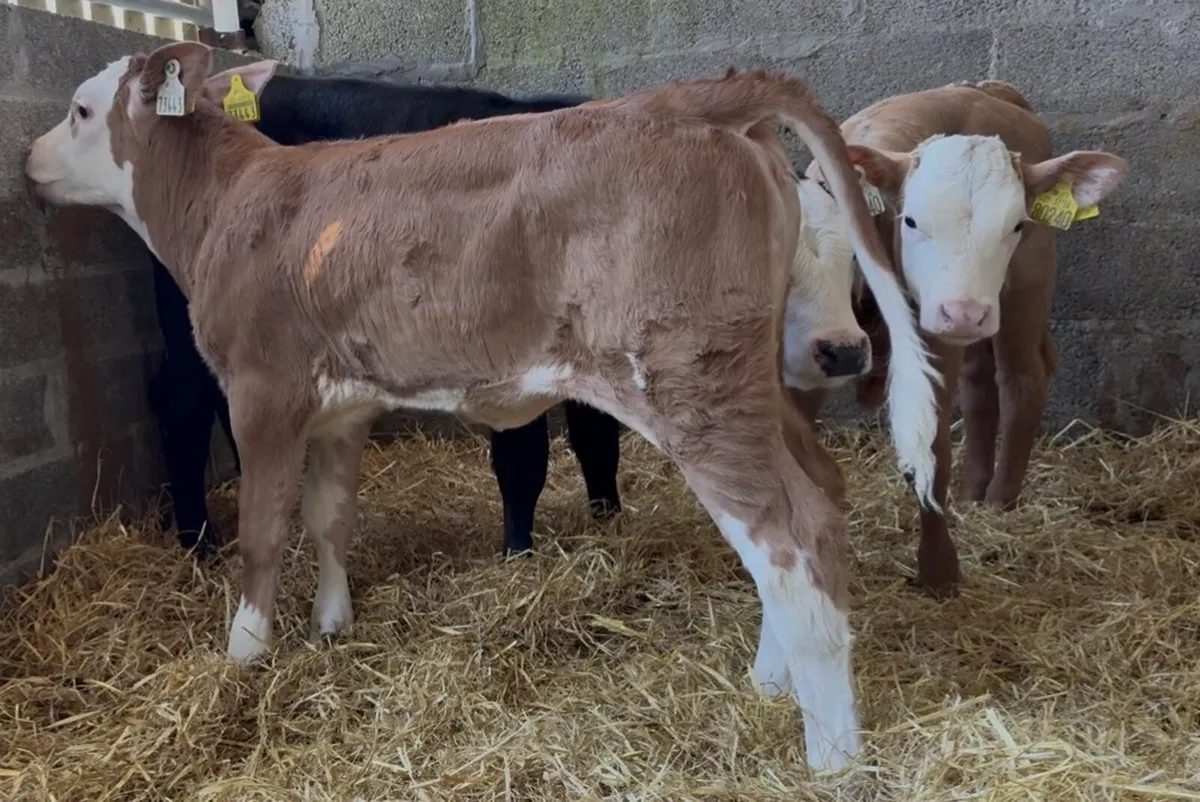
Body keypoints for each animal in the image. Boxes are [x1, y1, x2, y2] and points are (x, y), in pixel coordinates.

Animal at [25, 41, 942, 770]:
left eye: (79, 110)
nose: (27, 157)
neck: (231, 200)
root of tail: (686, 97)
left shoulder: (261, 389)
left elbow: (263, 528)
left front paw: (245, 654)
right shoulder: (342, 408)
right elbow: (329, 515)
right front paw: (332, 621)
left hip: (689, 381)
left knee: (788, 533)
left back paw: (831, 753)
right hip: (749, 378)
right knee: (819, 492)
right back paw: (769, 679)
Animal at [801, 80, 1127, 597]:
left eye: (1016, 224)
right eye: (911, 220)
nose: (963, 313)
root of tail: (985, 91)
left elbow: (931, 449)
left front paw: (939, 570)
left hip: (1023, 287)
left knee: (1021, 379)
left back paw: (1000, 501)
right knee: (979, 386)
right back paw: (975, 490)